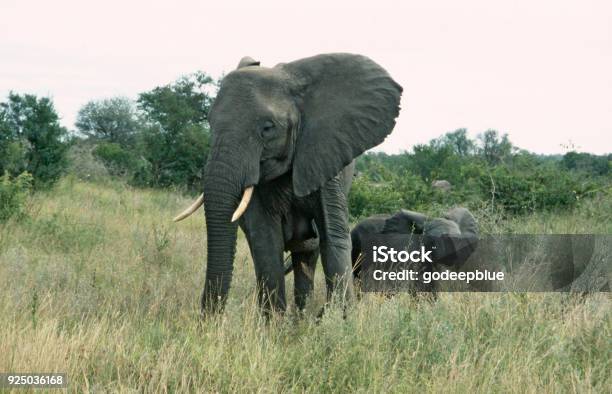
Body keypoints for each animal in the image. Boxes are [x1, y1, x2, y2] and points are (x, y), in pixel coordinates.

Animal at [172, 53, 402, 314]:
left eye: (267, 128)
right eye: (209, 123)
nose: (208, 319)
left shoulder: (325, 156)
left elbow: (332, 237)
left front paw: (339, 319)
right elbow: (265, 240)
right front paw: (273, 324)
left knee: (308, 254)